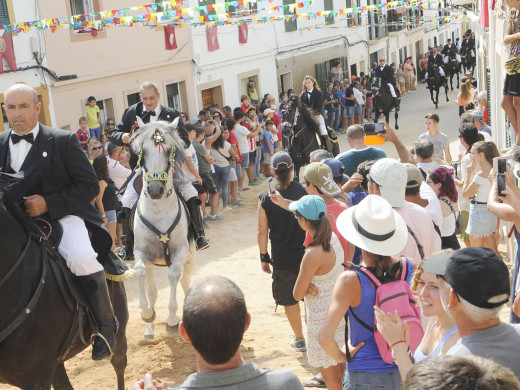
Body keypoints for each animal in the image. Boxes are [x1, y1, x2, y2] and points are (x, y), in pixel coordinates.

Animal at [131, 118, 196, 338]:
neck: (159, 210)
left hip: (190, 257)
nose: (155, 190)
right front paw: (146, 314)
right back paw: (149, 331)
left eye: (168, 150)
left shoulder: (181, 252)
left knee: (185, 282)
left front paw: (173, 320)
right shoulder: (141, 253)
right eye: (143, 152)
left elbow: (174, 276)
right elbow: (140, 273)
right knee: (152, 289)